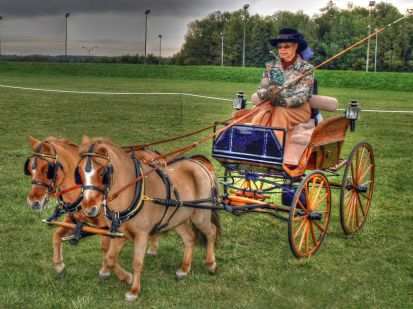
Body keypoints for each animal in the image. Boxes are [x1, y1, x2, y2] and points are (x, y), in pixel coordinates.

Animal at [77, 136, 219, 300]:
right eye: (79, 172)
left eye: (102, 172)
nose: (89, 208)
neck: (132, 191)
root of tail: (200, 165)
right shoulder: (121, 233)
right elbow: (110, 258)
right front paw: (127, 277)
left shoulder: (142, 234)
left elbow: (137, 262)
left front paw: (134, 290)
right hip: (177, 218)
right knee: (189, 237)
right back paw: (184, 269)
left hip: (200, 215)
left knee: (212, 232)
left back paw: (211, 264)